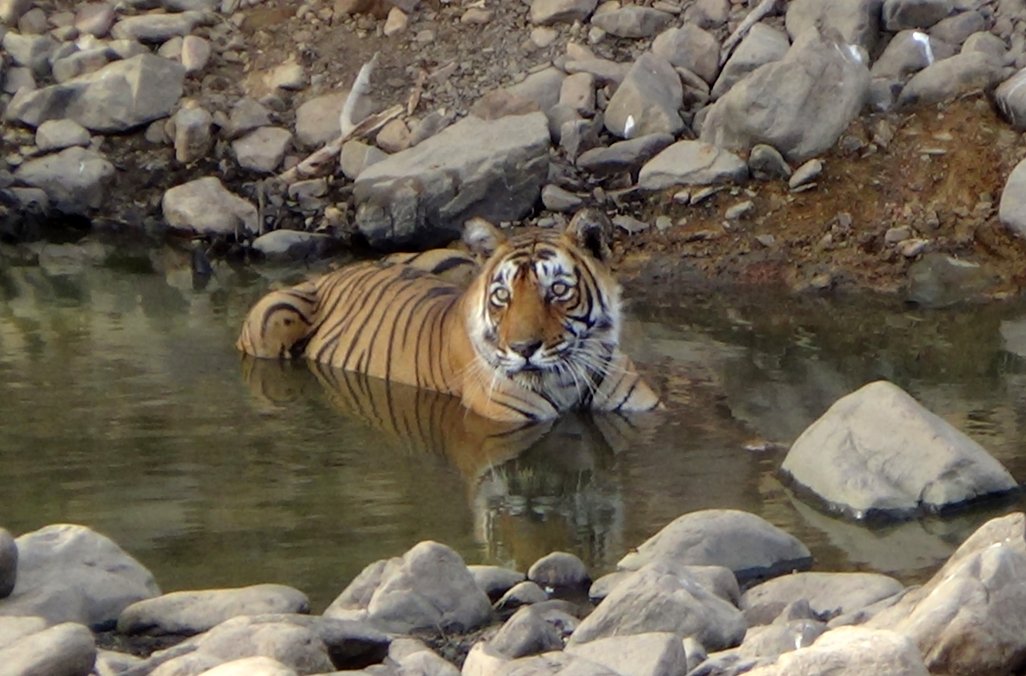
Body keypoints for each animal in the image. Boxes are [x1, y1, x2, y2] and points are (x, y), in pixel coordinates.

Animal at [235, 208, 662, 422]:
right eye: (502, 296)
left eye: (558, 290)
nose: (524, 349)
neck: (566, 380)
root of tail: (334, 272)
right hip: (269, 318)